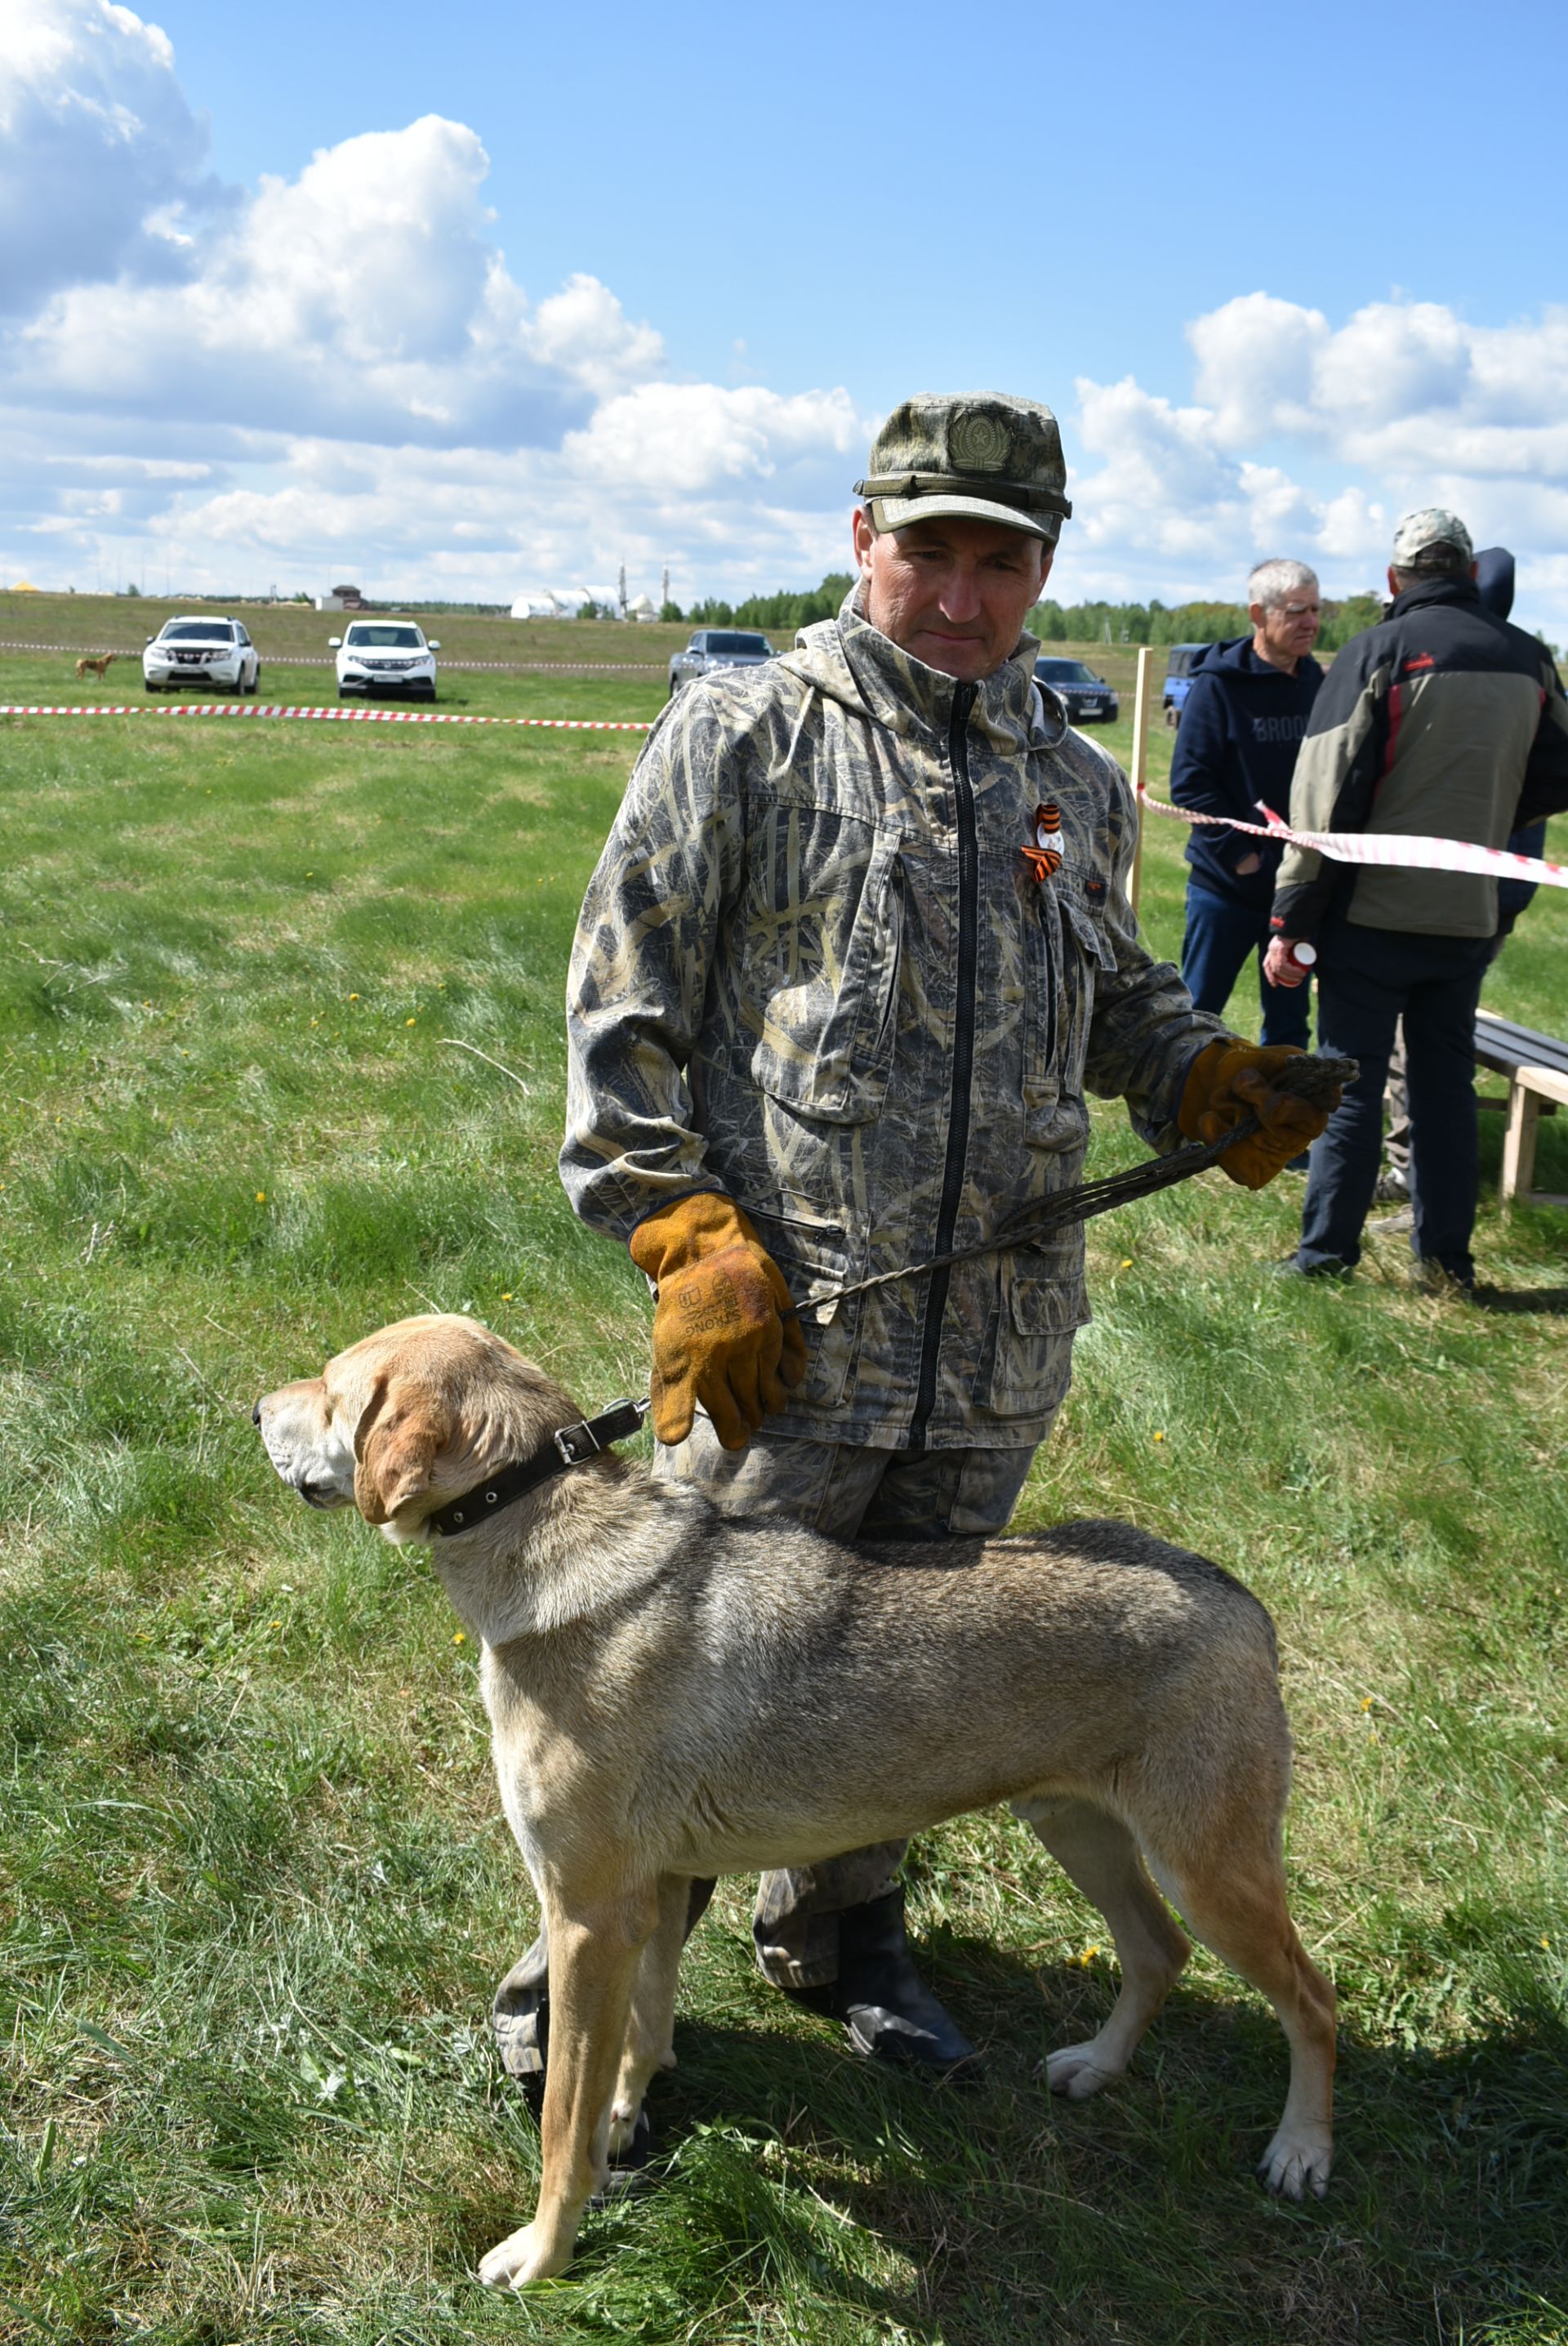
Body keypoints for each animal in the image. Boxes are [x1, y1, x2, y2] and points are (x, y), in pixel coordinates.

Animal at [256, 1322, 1331, 2290]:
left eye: (335, 1387)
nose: (253, 1409)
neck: (538, 1541)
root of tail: (1241, 1597)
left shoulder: (586, 1916)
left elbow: (562, 2127)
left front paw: (543, 2254)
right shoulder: (656, 1895)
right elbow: (642, 2037)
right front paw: (625, 2126)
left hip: (1207, 1873)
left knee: (1310, 1999)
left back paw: (1302, 2151)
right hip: (1080, 1832)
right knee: (1158, 1954)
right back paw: (1097, 2070)